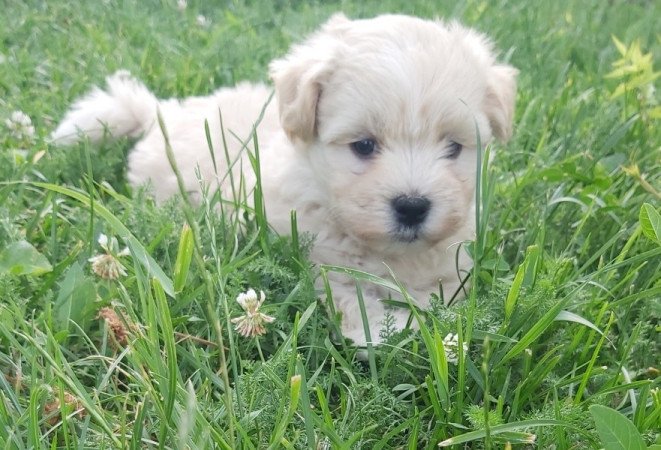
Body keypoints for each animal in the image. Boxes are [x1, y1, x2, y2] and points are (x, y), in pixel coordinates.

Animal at [52, 13, 516, 344]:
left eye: (454, 147)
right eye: (364, 146)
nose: (413, 206)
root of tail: (159, 114)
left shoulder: (452, 261)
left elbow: (447, 290)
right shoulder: (323, 267)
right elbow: (363, 309)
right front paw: (405, 330)